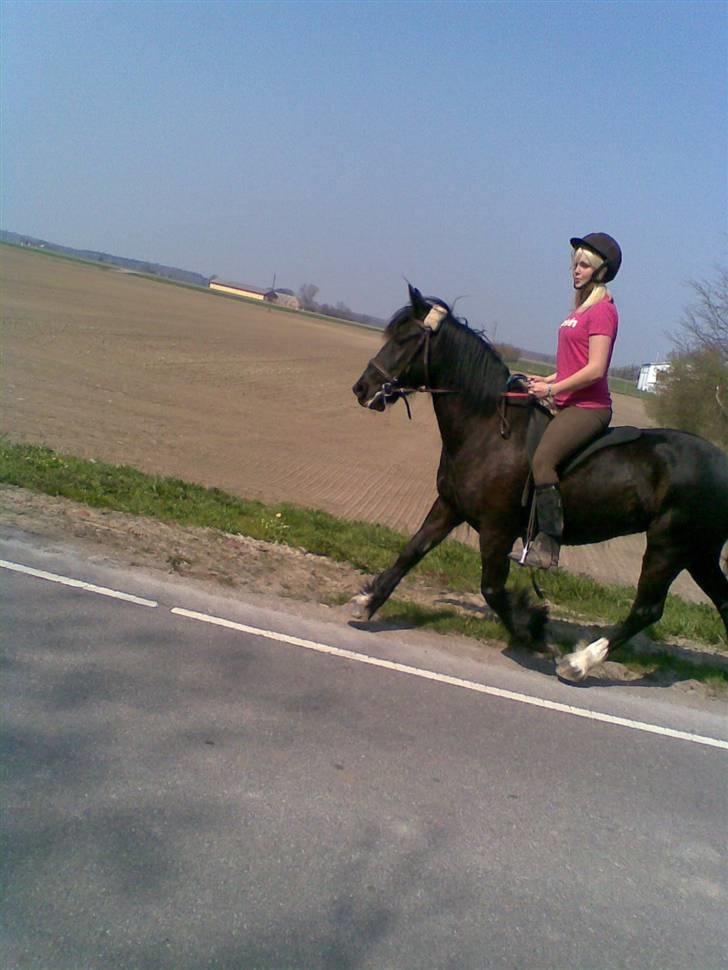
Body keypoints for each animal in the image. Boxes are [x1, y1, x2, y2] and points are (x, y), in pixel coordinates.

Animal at [351, 285, 728, 682]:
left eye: (405, 339)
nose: (362, 388)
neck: (489, 430)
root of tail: (722, 464)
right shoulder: (449, 506)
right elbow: (412, 550)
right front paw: (367, 601)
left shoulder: (497, 529)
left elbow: (491, 588)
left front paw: (533, 631)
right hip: (698, 551)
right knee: (722, 602)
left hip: (669, 546)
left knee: (647, 609)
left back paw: (578, 662)